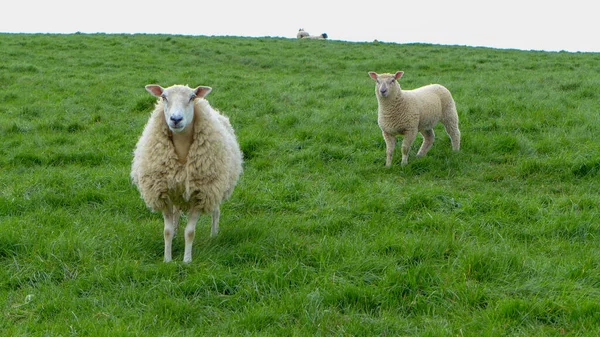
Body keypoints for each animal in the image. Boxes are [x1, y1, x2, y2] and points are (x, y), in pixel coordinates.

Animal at [132, 82, 243, 262]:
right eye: (163, 97)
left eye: (192, 97)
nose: (176, 119)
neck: (182, 151)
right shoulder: (163, 194)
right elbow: (167, 231)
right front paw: (167, 259)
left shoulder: (201, 195)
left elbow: (190, 232)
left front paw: (186, 260)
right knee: (176, 214)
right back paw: (177, 232)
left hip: (216, 187)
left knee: (216, 211)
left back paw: (214, 235)